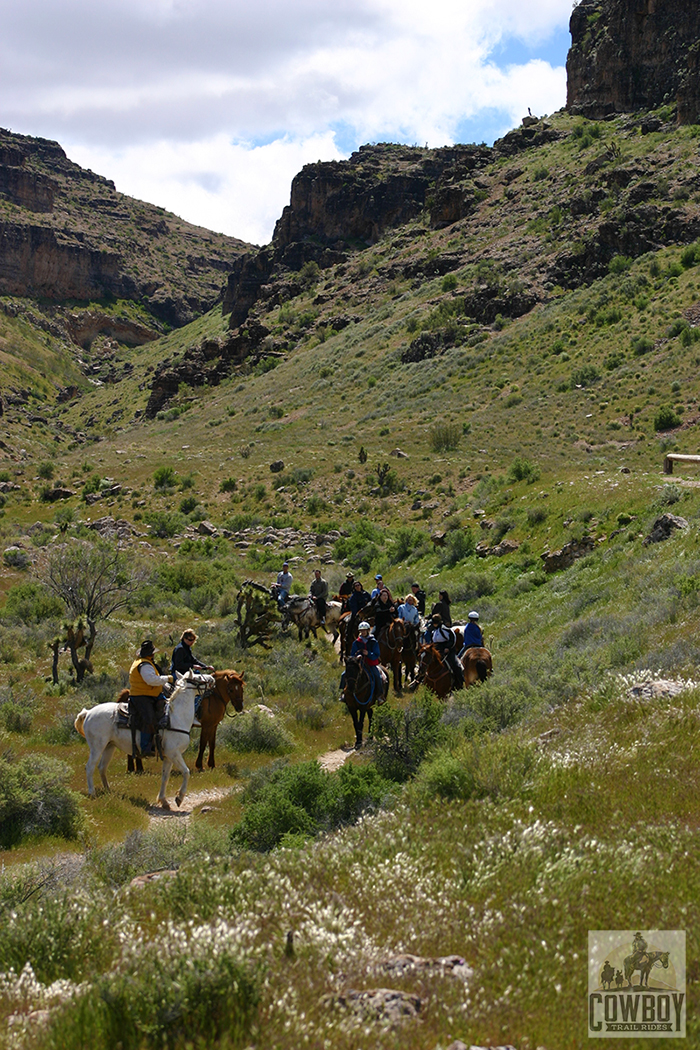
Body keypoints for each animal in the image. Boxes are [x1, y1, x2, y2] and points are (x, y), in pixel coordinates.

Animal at [74, 672, 215, 810]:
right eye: (198, 676)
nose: (212, 678)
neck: (175, 717)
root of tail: (89, 712)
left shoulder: (169, 757)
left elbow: (165, 777)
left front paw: (164, 801)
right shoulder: (174, 753)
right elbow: (186, 772)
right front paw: (179, 798)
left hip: (109, 746)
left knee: (102, 767)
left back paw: (108, 791)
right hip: (97, 746)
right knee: (90, 767)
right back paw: (92, 793)